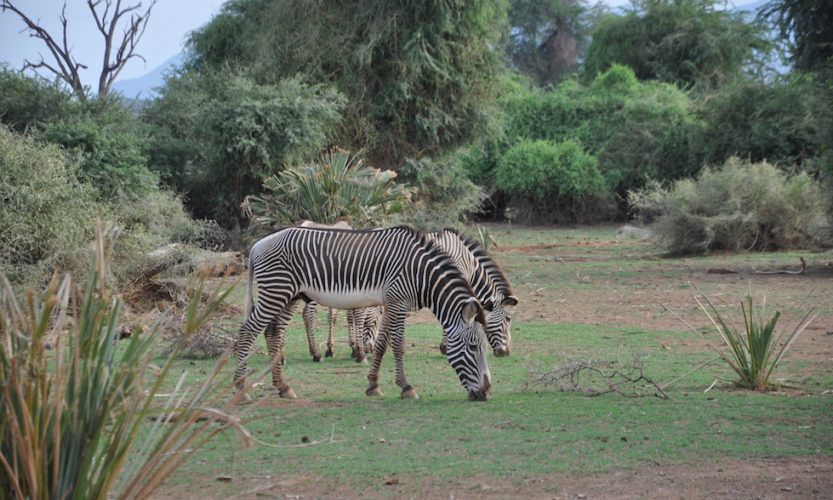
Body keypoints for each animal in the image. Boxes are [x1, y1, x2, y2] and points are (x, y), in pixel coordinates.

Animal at [232, 227, 494, 402]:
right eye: (473, 347)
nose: (485, 392)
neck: (421, 274)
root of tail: (257, 244)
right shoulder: (398, 302)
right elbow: (398, 345)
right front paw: (406, 387)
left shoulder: (391, 302)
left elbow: (382, 344)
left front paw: (373, 384)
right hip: (276, 291)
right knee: (247, 332)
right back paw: (240, 387)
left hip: (289, 296)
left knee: (273, 332)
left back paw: (282, 387)